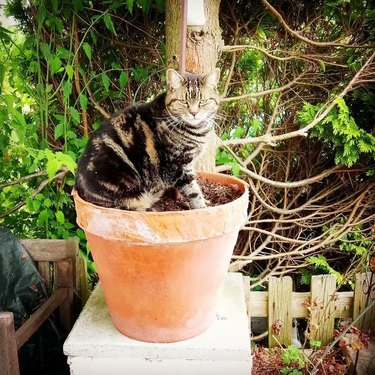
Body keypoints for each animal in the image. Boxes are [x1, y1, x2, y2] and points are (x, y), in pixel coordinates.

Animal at [75, 68, 222, 212]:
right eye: (183, 101)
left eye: (203, 101)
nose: (194, 113)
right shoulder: (177, 166)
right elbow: (192, 191)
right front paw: (202, 208)